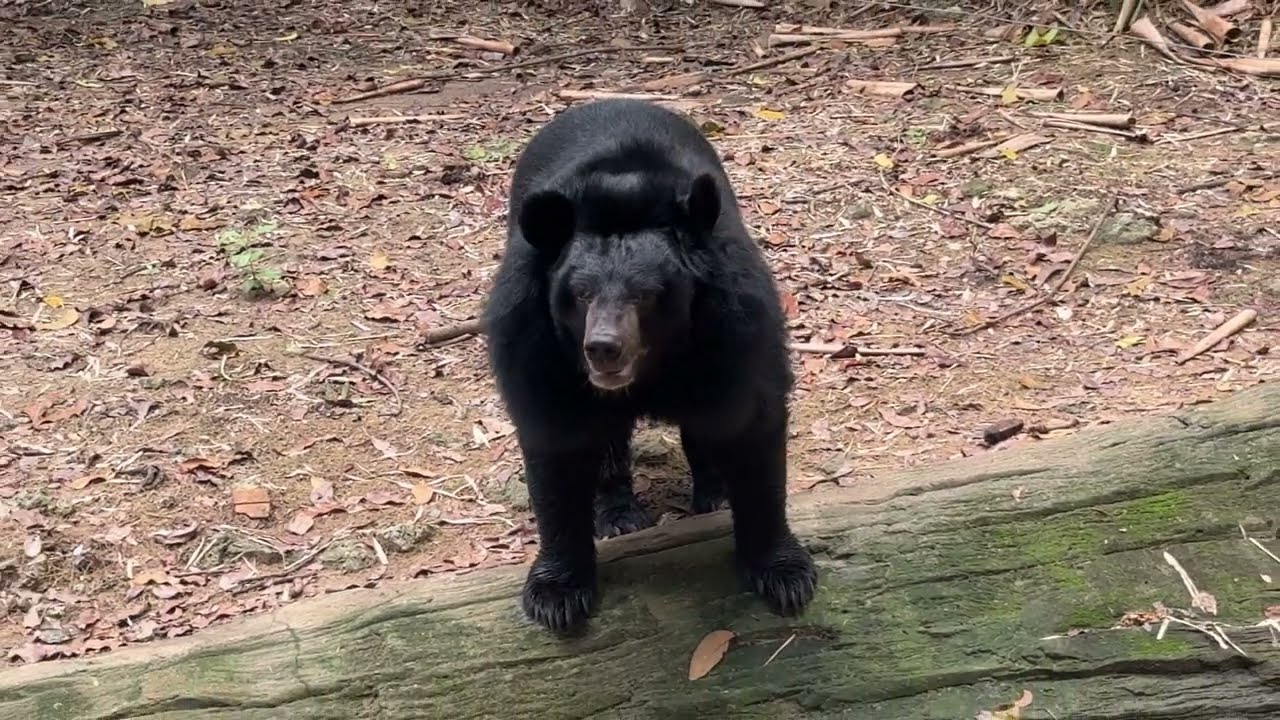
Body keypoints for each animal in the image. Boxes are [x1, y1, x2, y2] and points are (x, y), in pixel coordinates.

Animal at [482, 98, 817, 634]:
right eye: (580, 294)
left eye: (646, 295)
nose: (603, 348)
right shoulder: (535, 344)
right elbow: (556, 449)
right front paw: (556, 596)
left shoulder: (733, 328)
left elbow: (750, 427)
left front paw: (785, 576)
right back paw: (618, 515)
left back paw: (713, 495)